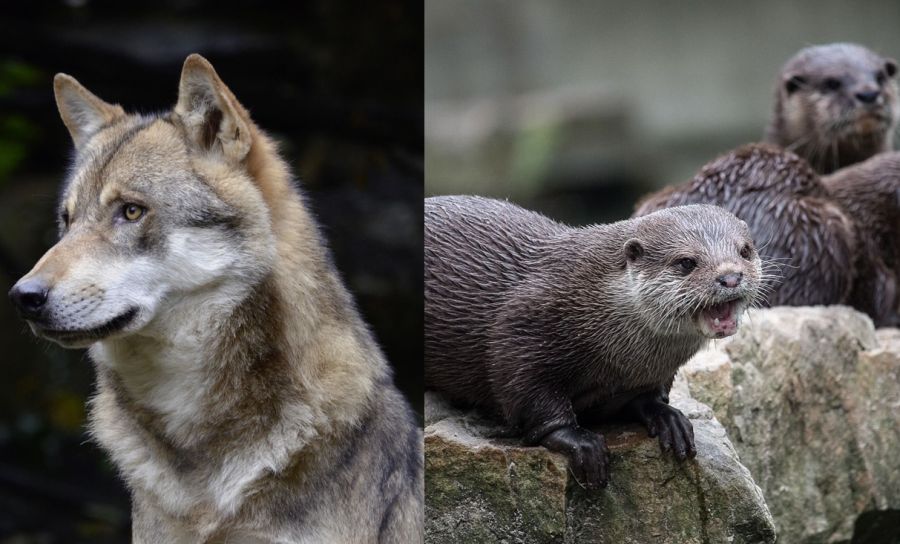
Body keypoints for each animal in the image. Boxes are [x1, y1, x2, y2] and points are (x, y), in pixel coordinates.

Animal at [426, 197, 764, 488]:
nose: (730, 277)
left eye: (745, 251)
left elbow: (648, 397)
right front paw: (580, 442)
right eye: (686, 262)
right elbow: (526, 393)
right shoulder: (522, 328)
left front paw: (667, 417)